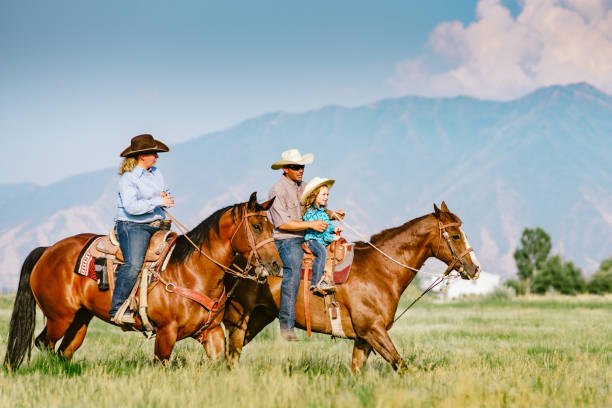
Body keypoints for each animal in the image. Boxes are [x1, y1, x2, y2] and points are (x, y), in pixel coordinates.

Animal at [1, 193, 280, 368]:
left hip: (80, 319)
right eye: (256, 227)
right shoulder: (166, 333)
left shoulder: (211, 333)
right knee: (43, 343)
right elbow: (161, 365)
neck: (192, 271)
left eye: (271, 227)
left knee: (64, 351)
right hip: (60, 317)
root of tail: (48, 250)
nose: (276, 264)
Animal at [222, 202, 480, 372]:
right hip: (238, 319)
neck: (380, 269)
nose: (475, 268)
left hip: (258, 318)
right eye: (455, 236)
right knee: (230, 355)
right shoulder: (373, 331)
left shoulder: (363, 339)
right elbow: (400, 364)